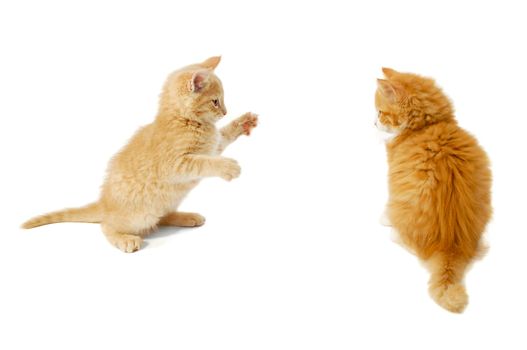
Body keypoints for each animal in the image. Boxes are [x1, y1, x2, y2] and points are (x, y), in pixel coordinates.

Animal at [21, 56, 258, 253]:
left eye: (221, 101)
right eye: (215, 101)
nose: (225, 112)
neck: (184, 121)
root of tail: (104, 203)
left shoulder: (213, 145)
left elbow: (223, 137)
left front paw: (243, 122)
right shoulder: (175, 164)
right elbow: (203, 162)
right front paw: (228, 167)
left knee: (162, 217)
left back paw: (186, 216)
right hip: (140, 214)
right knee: (106, 226)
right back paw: (125, 239)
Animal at [374, 67, 492, 312]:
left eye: (380, 112)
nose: (373, 123)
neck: (426, 127)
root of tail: (451, 245)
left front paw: (384, 217)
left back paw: (393, 231)